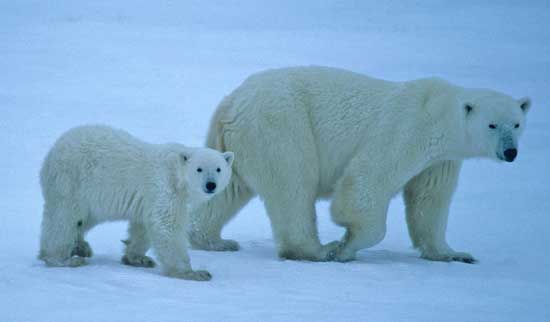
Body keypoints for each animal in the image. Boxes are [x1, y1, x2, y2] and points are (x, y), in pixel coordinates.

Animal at [37, 124, 236, 280]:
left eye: (218, 169)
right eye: (199, 169)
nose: (210, 185)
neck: (176, 175)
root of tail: (53, 150)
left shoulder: (151, 199)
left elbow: (143, 226)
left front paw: (138, 258)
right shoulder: (164, 189)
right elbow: (166, 226)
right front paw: (194, 273)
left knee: (83, 219)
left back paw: (81, 247)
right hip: (71, 181)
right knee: (62, 219)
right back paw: (63, 258)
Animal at [189, 66, 532, 264]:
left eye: (516, 123)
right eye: (492, 124)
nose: (511, 152)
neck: (440, 114)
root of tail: (231, 102)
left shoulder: (442, 160)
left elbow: (430, 201)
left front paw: (453, 253)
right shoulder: (406, 129)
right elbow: (366, 182)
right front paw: (345, 245)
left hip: (235, 143)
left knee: (226, 188)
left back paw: (214, 240)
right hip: (281, 125)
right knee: (293, 185)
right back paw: (317, 250)